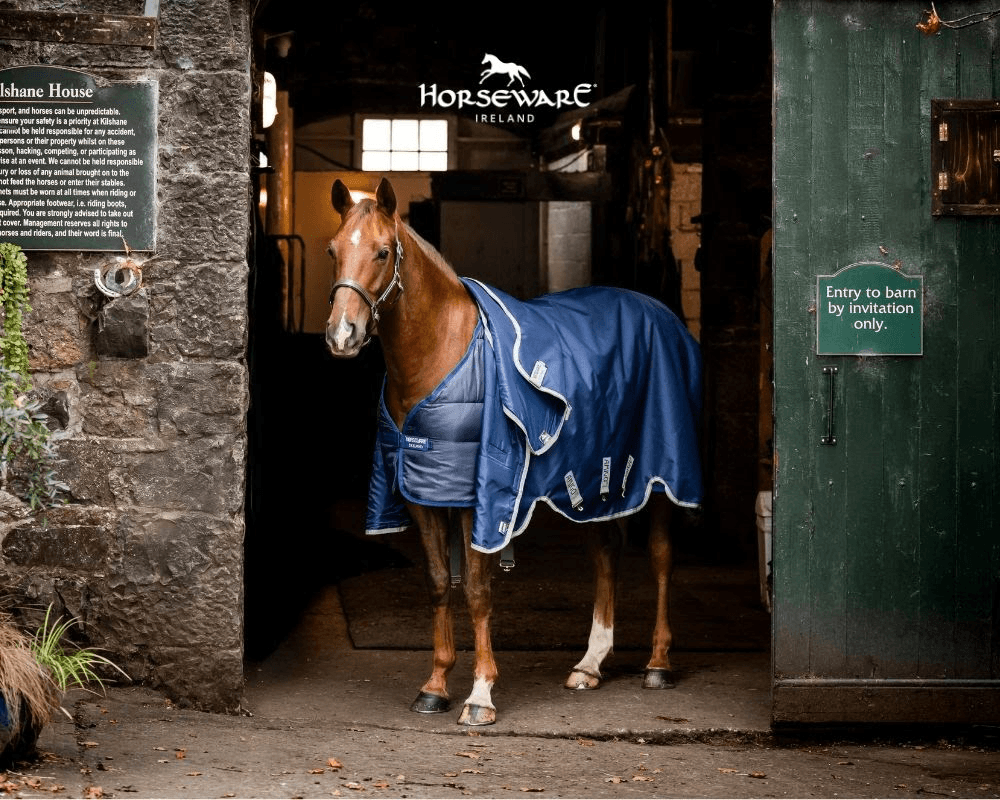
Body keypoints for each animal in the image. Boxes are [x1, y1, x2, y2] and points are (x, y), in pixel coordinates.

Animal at [325, 177, 702, 726]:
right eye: (333, 251)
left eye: (382, 251)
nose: (342, 335)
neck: (440, 353)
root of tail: (666, 317)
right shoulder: (421, 493)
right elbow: (438, 583)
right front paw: (435, 685)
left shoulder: (477, 498)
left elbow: (477, 591)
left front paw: (480, 694)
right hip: (598, 482)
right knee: (606, 552)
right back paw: (590, 664)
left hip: (659, 480)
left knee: (659, 556)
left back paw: (657, 662)